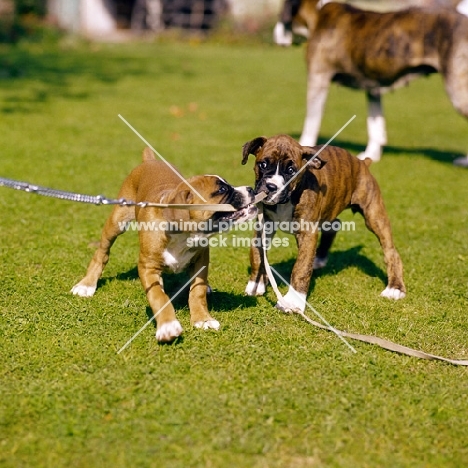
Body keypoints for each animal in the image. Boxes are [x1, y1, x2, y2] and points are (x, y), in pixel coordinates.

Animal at [72, 148, 256, 342]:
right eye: (222, 189)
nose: (251, 189)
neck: (182, 234)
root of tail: (150, 161)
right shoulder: (147, 268)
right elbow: (159, 296)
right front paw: (168, 326)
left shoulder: (201, 259)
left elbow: (197, 291)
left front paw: (202, 319)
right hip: (117, 221)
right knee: (102, 252)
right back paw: (87, 284)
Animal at [241, 133, 406, 312]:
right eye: (263, 164)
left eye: (291, 171)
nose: (271, 187)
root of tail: (362, 163)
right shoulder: (264, 226)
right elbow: (257, 255)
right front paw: (256, 283)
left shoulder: (307, 233)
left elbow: (301, 268)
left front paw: (294, 301)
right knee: (335, 224)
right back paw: (319, 258)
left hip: (374, 215)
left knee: (391, 252)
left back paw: (395, 288)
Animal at [276, 0, 468, 166]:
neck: (317, 12)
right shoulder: (373, 88)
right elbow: (375, 125)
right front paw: (372, 154)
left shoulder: (318, 79)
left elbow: (312, 121)